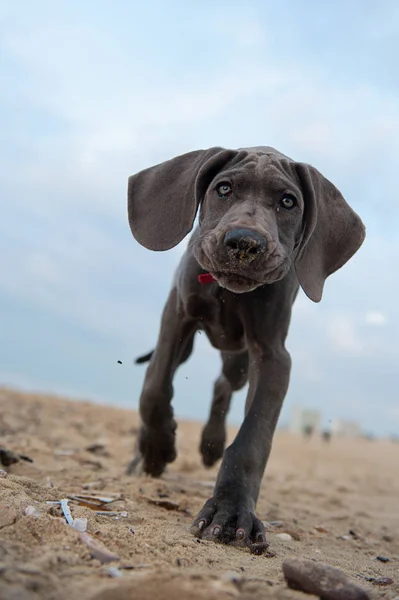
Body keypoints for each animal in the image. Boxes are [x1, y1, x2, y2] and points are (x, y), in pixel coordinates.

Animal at [127, 145, 366, 552]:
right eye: (223, 188)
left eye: (288, 201)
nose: (245, 243)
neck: (228, 292)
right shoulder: (177, 315)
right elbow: (155, 386)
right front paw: (157, 448)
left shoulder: (272, 355)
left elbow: (252, 440)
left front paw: (230, 512)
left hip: (237, 361)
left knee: (223, 385)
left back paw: (210, 445)